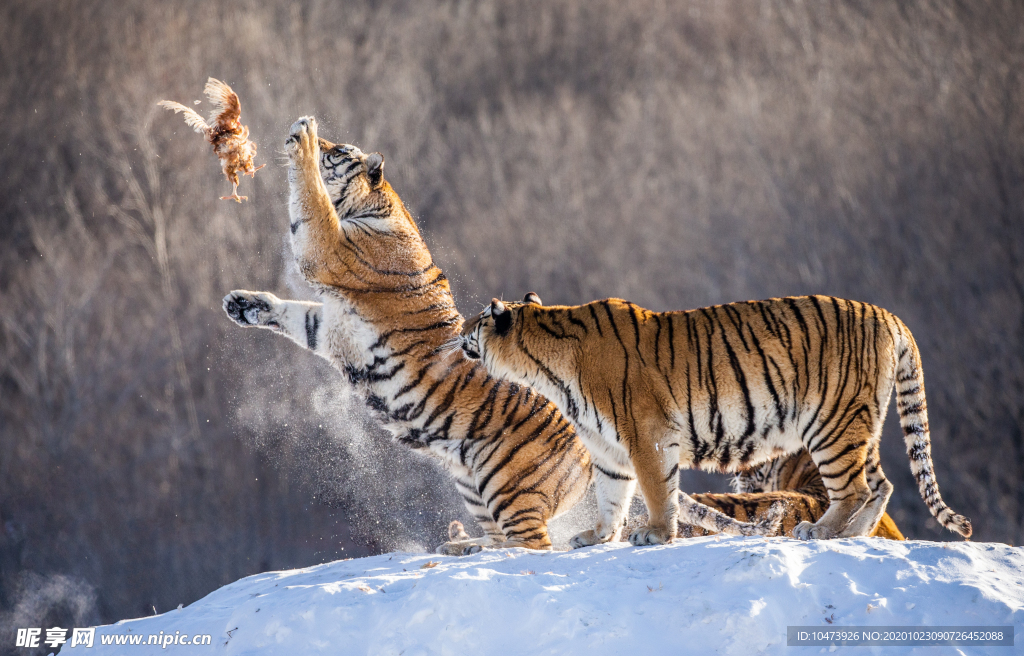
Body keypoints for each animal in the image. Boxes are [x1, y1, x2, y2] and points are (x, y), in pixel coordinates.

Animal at [460, 290, 970, 540]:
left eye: (477, 320)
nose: (461, 328)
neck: (545, 368)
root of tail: (890, 317)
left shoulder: (648, 437)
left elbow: (657, 491)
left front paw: (655, 534)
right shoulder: (608, 449)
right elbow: (611, 496)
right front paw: (598, 536)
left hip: (832, 426)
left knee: (856, 489)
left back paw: (820, 532)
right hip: (860, 425)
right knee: (882, 485)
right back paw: (854, 536)